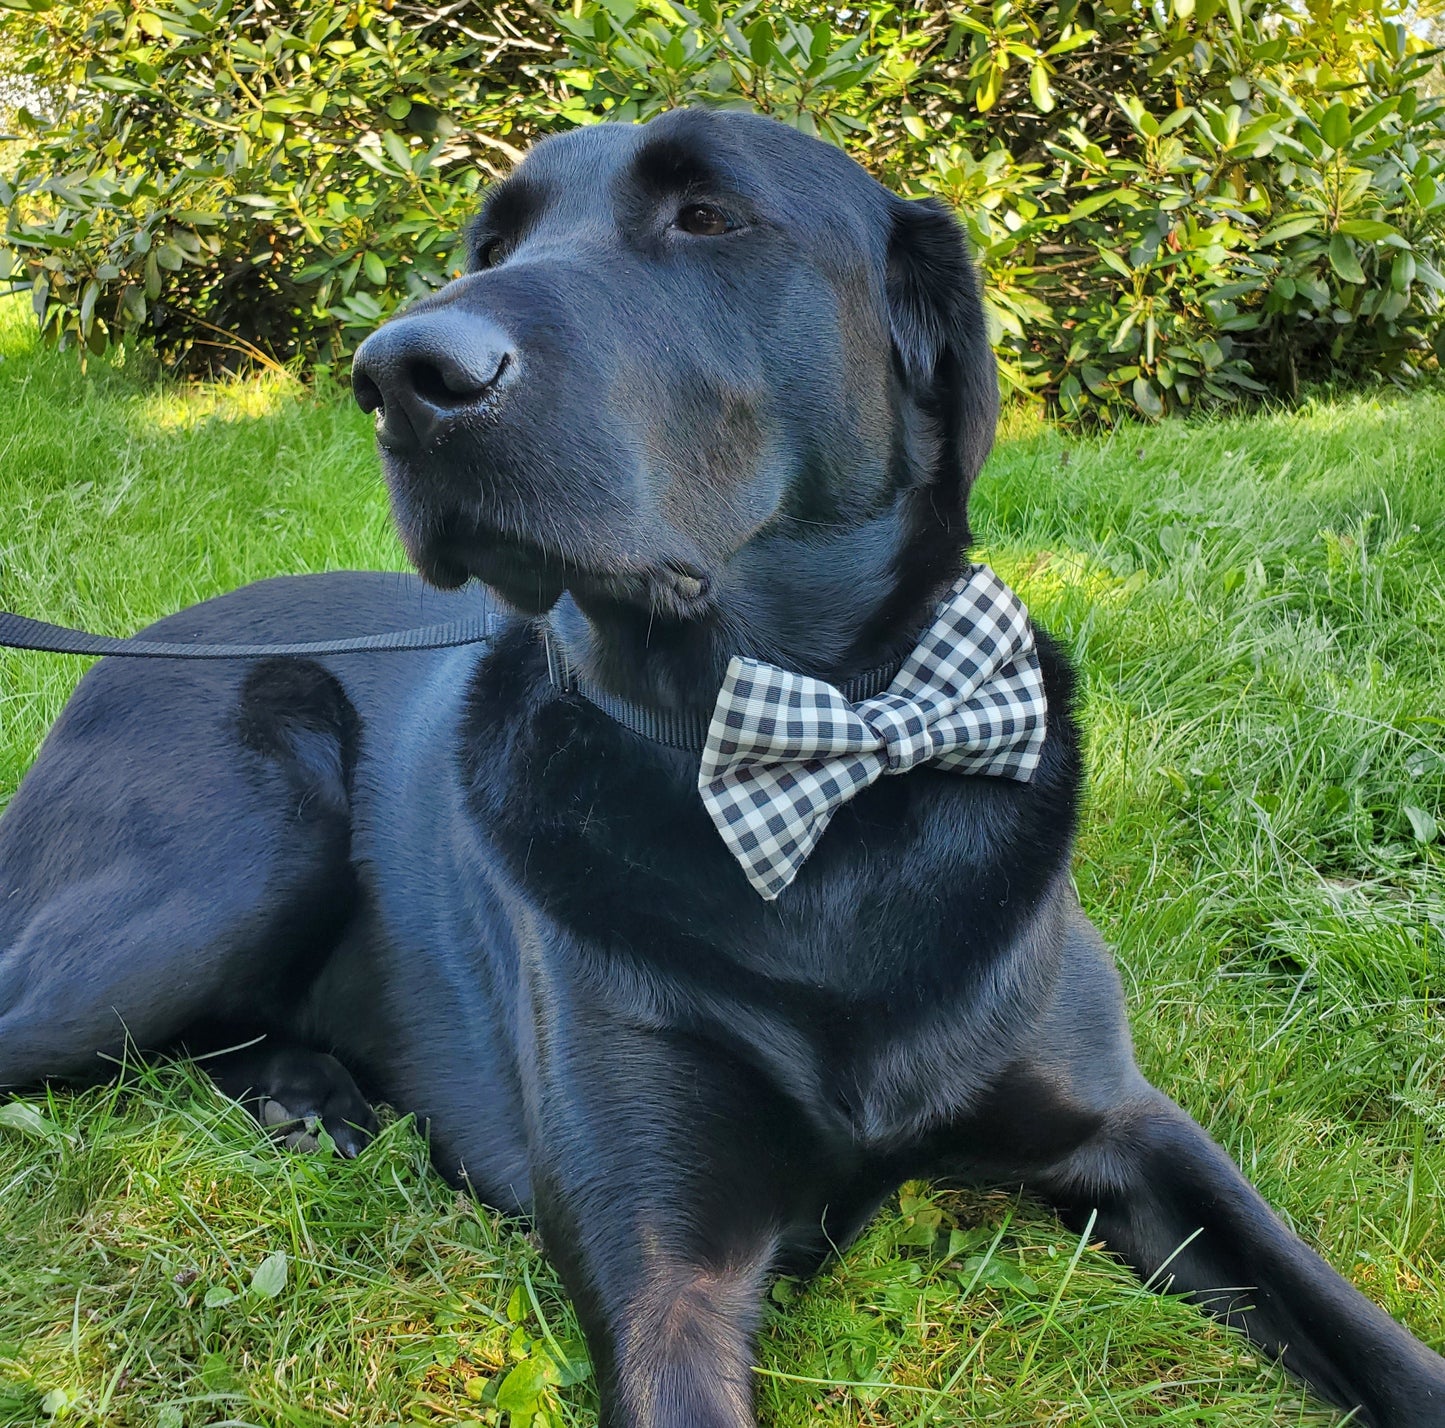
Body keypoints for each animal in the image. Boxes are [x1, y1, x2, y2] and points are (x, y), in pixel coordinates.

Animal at [2, 109, 1445, 1428]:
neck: (816, 772)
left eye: (708, 216)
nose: (398, 372)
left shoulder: (1134, 1131)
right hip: (247, 830)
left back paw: (306, 1092)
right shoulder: (667, 1276)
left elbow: (1355, 1325)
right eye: (491, 245)